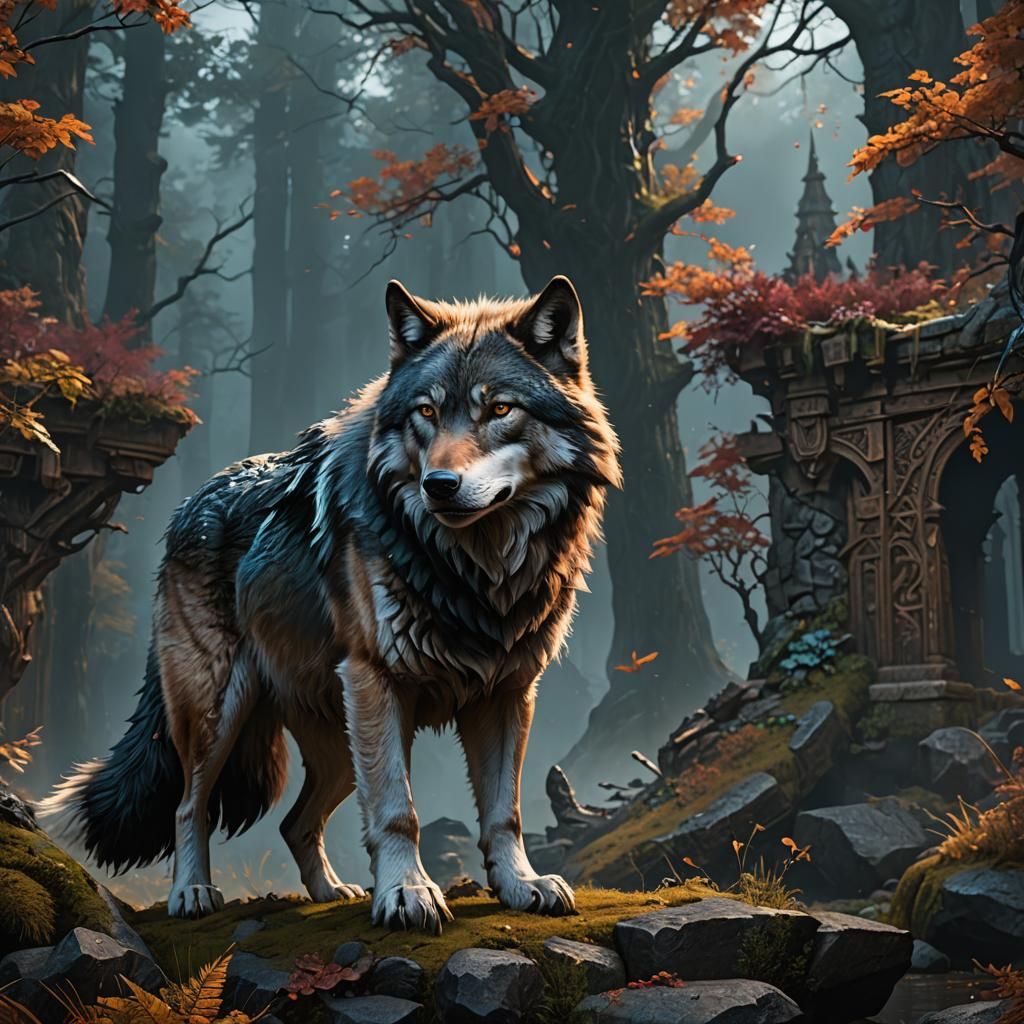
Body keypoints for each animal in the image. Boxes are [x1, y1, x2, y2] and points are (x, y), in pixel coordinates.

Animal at [45, 275, 620, 933]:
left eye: (499, 409)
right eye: (426, 412)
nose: (438, 486)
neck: (477, 569)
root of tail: (192, 501)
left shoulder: (507, 692)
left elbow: (506, 813)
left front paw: (521, 886)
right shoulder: (376, 679)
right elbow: (399, 811)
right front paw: (407, 893)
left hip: (343, 741)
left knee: (295, 822)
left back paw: (331, 892)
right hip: (224, 710)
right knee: (190, 806)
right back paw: (192, 893)